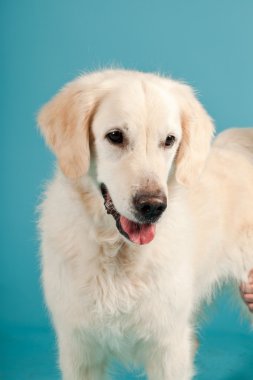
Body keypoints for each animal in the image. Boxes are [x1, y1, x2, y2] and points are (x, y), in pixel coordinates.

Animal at [37, 69, 253, 380]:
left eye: (169, 140)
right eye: (115, 136)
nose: (152, 206)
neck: (118, 253)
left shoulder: (169, 348)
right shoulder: (80, 350)